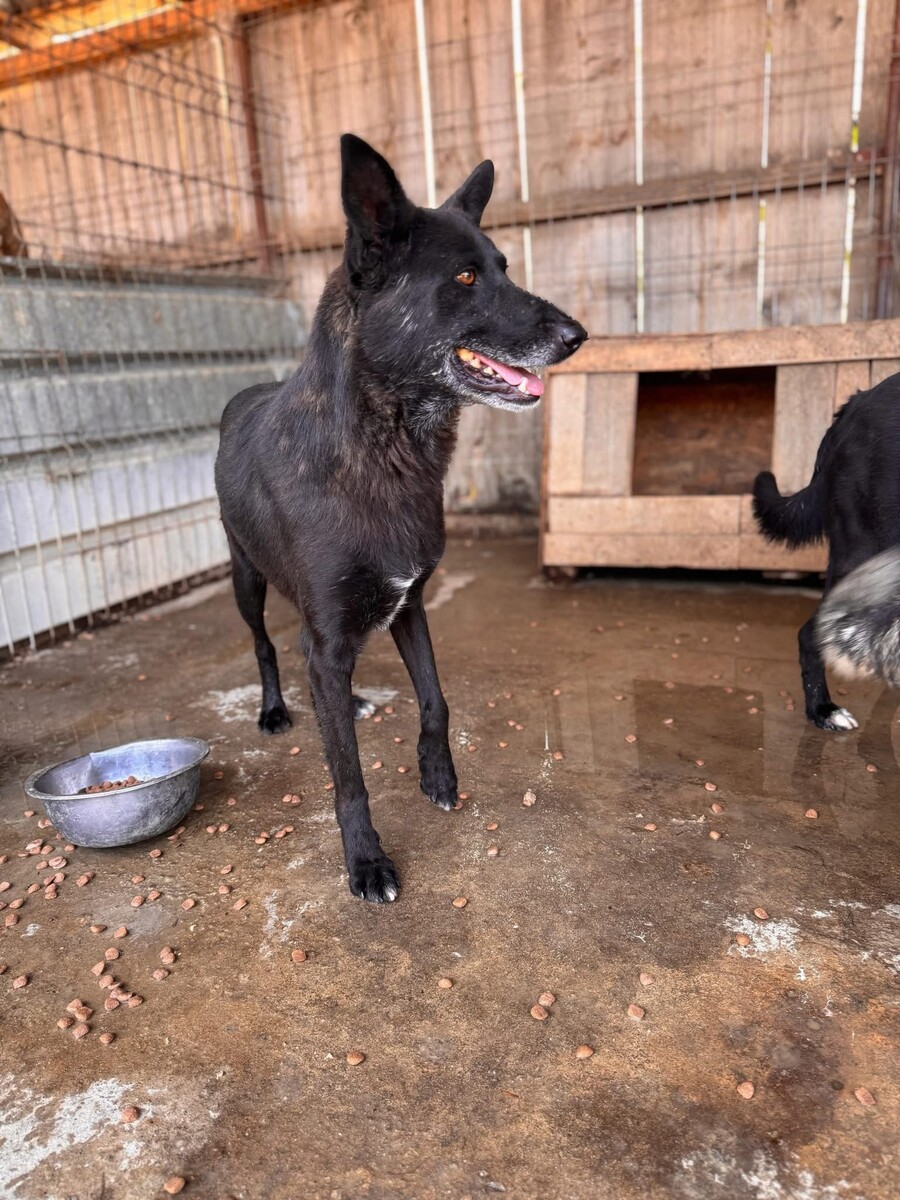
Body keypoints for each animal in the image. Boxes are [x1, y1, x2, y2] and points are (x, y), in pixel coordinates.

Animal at [215, 134, 587, 902]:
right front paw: (366, 861)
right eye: (466, 277)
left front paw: (438, 775)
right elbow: (348, 775)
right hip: (246, 578)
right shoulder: (328, 630)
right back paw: (276, 710)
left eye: (504, 267)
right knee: (266, 645)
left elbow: (436, 700)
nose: (578, 335)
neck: (384, 444)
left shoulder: (410, 601)